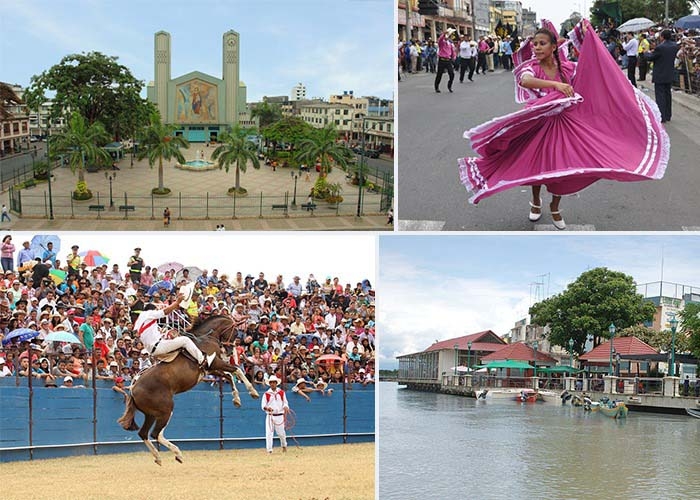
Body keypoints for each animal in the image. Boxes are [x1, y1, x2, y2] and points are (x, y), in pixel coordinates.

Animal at [117, 316, 260, 464]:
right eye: (236, 333)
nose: (231, 351)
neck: (206, 338)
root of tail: (133, 388)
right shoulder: (214, 362)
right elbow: (236, 370)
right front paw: (253, 391)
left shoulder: (211, 368)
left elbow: (229, 376)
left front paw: (237, 399)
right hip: (166, 410)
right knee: (155, 433)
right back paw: (177, 453)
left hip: (151, 414)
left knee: (144, 433)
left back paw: (158, 456)